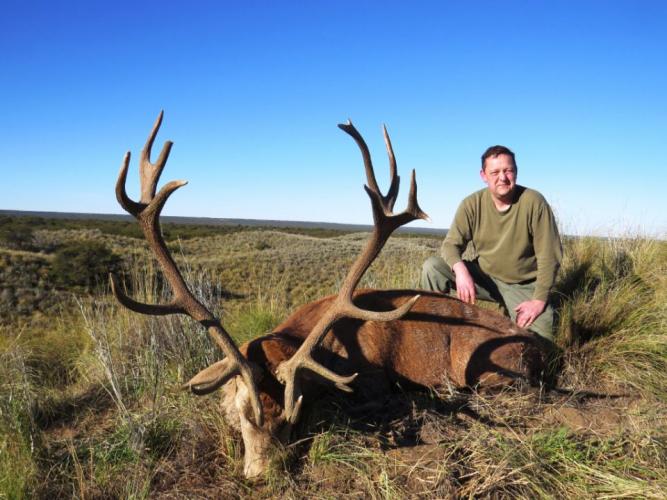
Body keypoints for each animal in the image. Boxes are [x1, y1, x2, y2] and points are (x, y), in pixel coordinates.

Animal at [110, 112, 547, 478]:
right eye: (242, 412)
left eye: (295, 415)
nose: (264, 474)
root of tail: (541, 347)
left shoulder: (373, 380)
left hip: (486, 371)